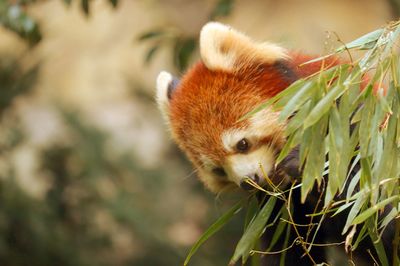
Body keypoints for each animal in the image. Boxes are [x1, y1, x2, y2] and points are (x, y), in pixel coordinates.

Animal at [156, 22, 394, 264]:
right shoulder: (279, 207)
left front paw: (304, 159)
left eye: (242, 144)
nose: (248, 182)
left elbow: (374, 206)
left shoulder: (360, 122)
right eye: (218, 171)